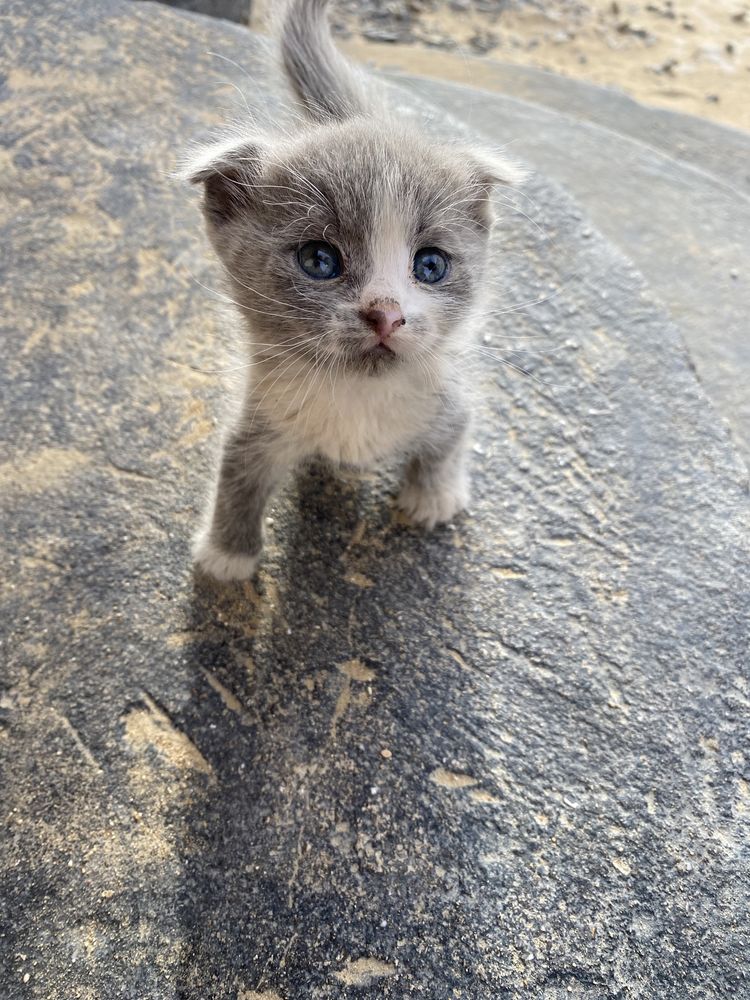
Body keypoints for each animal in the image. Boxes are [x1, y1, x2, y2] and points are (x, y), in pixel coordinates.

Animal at [184, 0, 524, 584]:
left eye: (430, 265)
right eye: (319, 260)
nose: (386, 313)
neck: (357, 397)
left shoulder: (448, 393)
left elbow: (453, 435)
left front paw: (433, 496)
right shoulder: (262, 414)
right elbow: (238, 467)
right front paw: (228, 555)